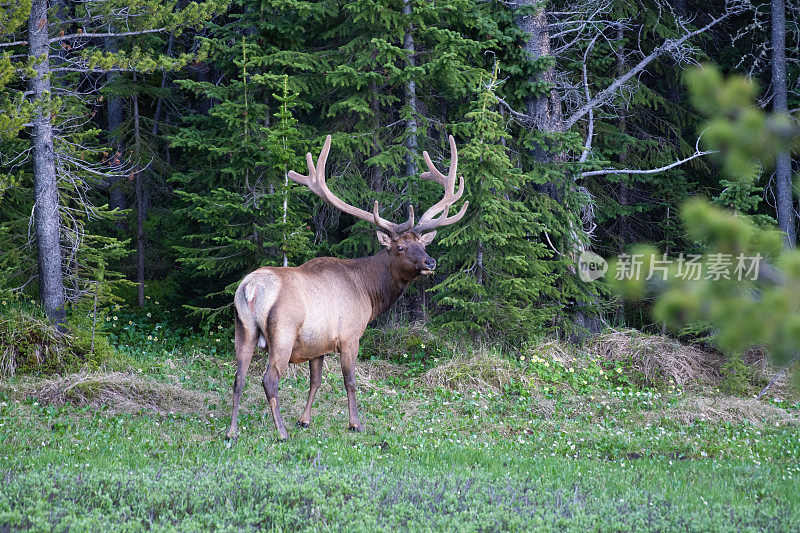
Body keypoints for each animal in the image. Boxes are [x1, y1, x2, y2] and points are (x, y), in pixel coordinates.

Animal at [227, 135, 468, 438]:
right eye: (400, 247)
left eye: (422, 244)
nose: (430, 262)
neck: (368, 291)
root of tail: (250, 289)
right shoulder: (350, 335)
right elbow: (350, 380)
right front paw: (355, 423)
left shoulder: (317, 344)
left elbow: (315, 381)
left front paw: (305, 420)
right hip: (282, 331)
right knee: (269, 379)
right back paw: (281, 432)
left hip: (243, 329)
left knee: (238, 378)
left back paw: (232, 432)